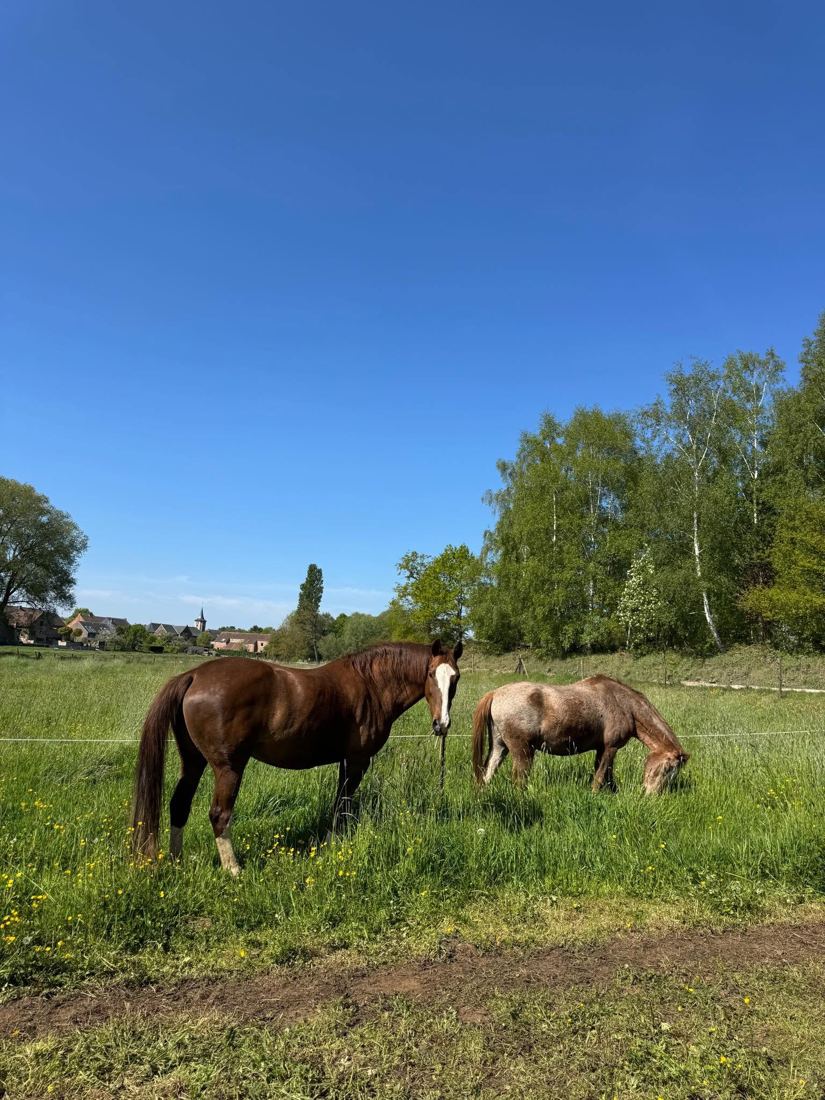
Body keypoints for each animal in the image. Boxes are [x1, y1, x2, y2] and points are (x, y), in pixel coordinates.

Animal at [132, 639, 462, 874]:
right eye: (430, 674)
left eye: (456, 678)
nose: (442, 724)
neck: (371, 684)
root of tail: (193, 675)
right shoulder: (357, 761)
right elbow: (341, 805)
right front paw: (332, 844)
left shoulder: (345, 762)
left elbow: (339, 804)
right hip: (228, 767)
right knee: (219, 814)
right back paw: (233, 869)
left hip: (193, 761)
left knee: (179, 804)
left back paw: (176, 860)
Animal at [472, 675, 688, 793]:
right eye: (668, 769)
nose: (651, 795)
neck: (624, 704)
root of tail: (495, 693)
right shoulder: (610, 748)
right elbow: (600, 776)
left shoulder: (602, 749)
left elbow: (607, 776)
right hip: (522, 751)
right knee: (519, 781)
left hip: (500, 747)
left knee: (487, 773)